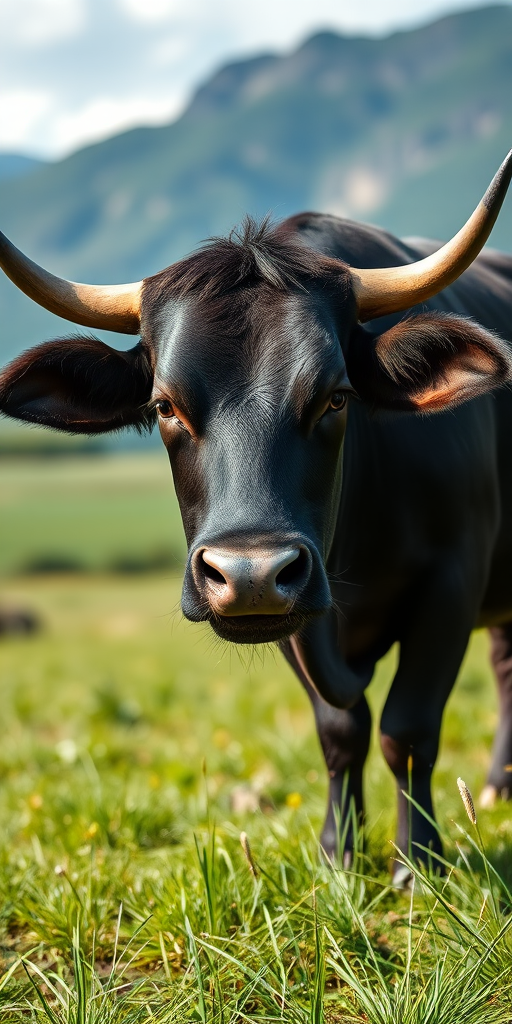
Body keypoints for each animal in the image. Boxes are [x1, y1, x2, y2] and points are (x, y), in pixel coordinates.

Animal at [1, 152, 512, 881]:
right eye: (164, 405)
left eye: (336, 397)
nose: (249, 575)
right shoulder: (296, 622)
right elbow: (341, 729)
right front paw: (339, 854)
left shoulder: (450, 582)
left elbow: (407, 728)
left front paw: (418, 863)